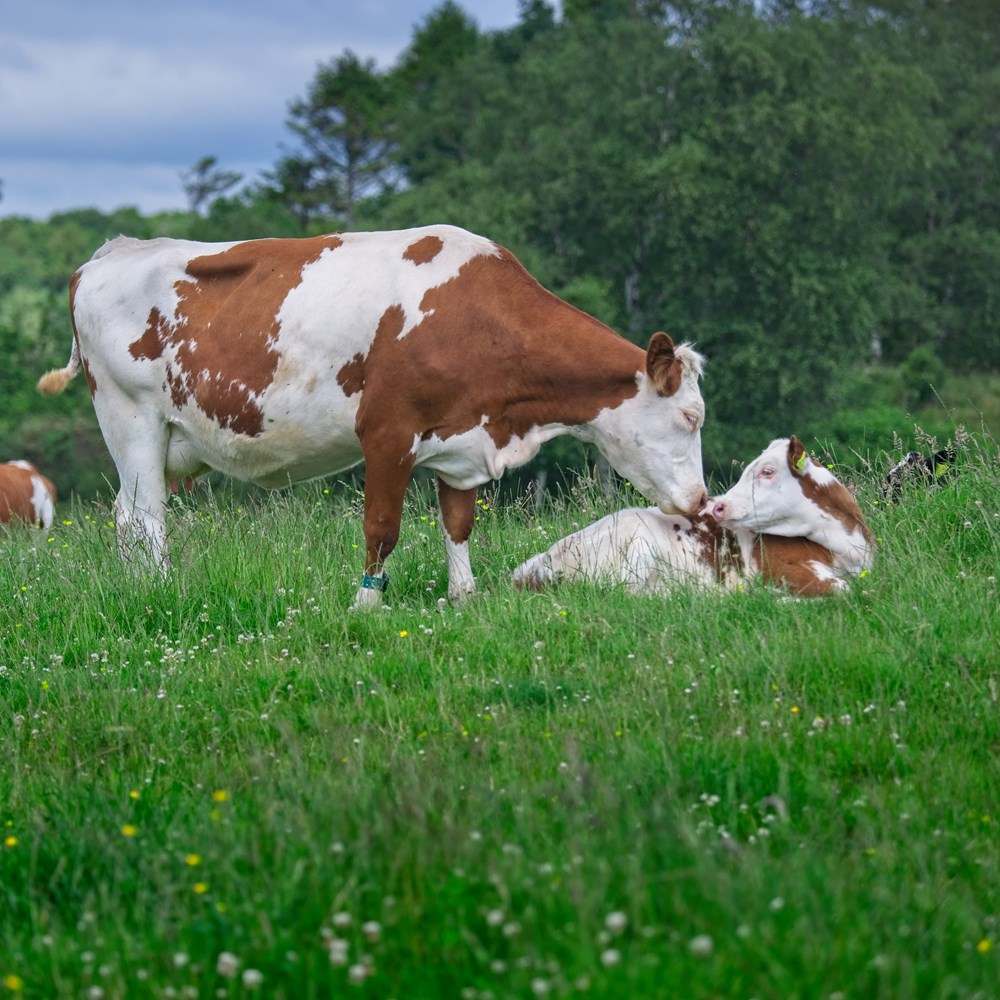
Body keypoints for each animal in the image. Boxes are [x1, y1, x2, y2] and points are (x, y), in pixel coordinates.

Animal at [39, 225, 708, 608]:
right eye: (691, 417)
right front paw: (367, 607)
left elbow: (458, 523)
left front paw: (464, 597)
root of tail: (110, 254)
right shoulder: (387, 432)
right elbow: (382, 528)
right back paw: (157, 590)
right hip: (131, 420)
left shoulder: (460, 438)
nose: (702, 501)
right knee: (144, 518)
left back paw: (136, 587)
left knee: (126, 514)